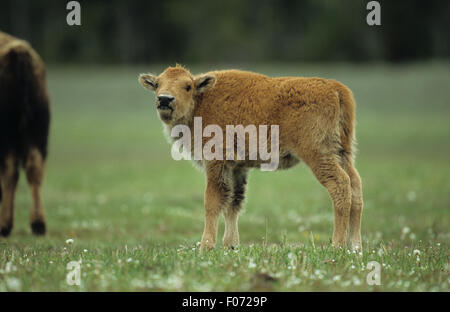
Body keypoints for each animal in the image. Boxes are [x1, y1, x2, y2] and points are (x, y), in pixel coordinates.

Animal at [139, 65, 364, 251]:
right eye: (157, 84)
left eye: (187, 86)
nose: (165, 99)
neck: (201, 101)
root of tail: (335, 88)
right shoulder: (237, 168)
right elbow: (233, 203)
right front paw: (231, 245)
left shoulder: (216, 163)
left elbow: (212, 202)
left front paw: (206, 247)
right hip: (343, 153)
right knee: (355, 186)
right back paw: (355, 247)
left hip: (318, 154)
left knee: (340, 185)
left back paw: (337, 245)